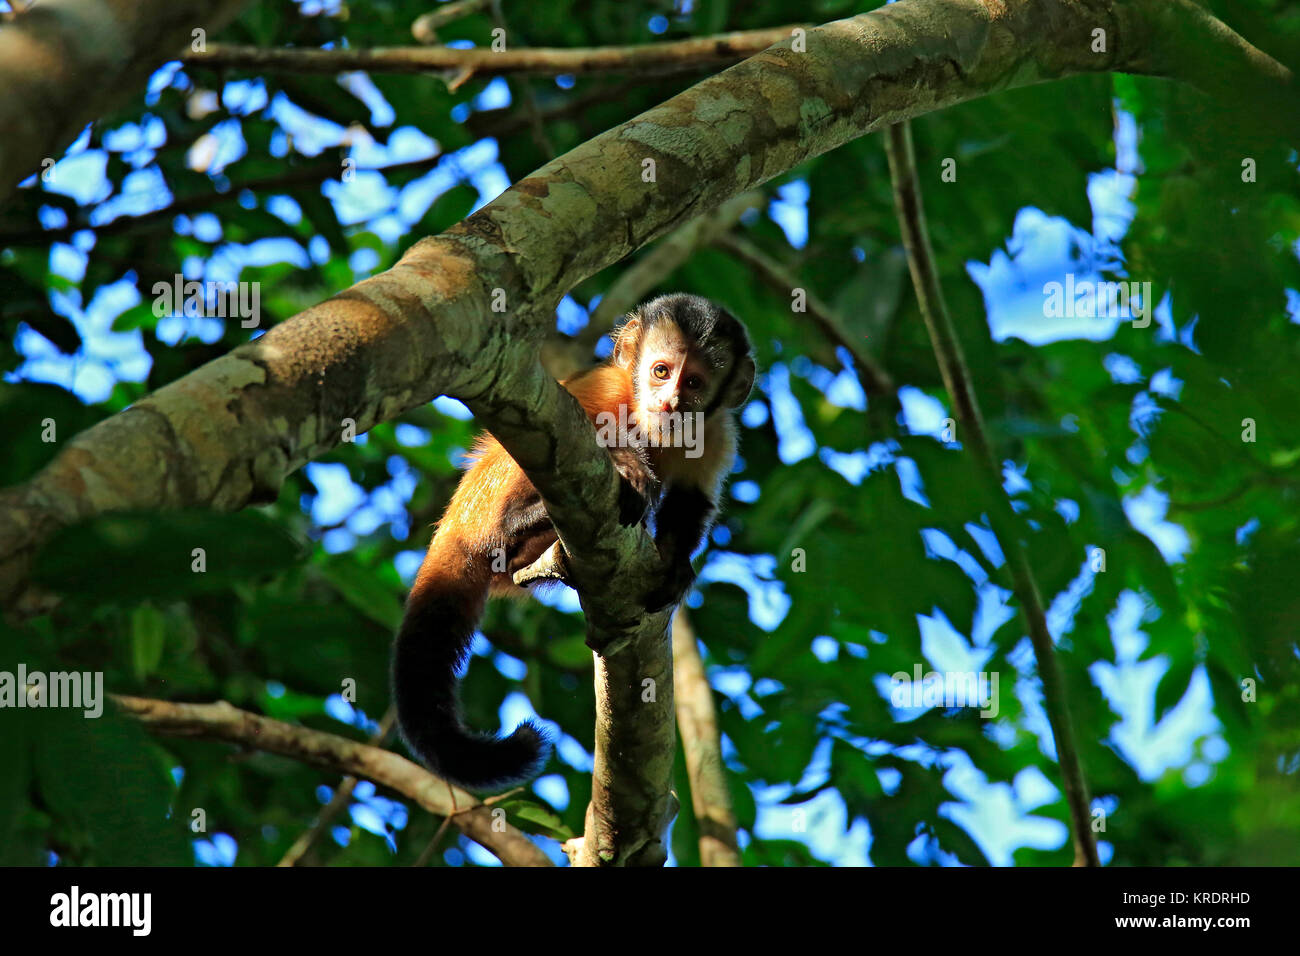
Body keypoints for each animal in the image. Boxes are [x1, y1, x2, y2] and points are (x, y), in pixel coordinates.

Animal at [390, 293, 759, 790]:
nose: (670, 401)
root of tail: (456, 520)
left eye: (695, 382)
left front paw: (675, 566)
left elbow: (691, 502)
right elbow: (575, 427)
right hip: (486, 500)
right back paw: (525, 519)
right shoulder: (607, 385)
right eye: (661, 371)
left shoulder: (719, 433)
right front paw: (630, 466)